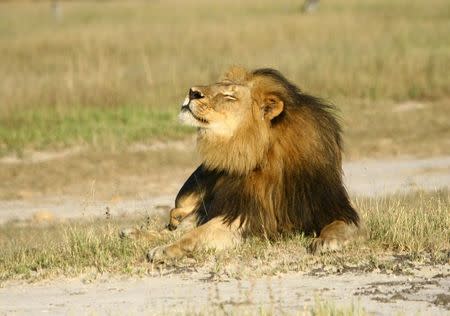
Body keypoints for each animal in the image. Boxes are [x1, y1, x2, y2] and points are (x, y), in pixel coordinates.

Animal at [146, 66, 364, 262]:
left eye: (230, 96)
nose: (192, 92)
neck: (263, 153)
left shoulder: (331, 207)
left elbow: (341, 224)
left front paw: (326, 241)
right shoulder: (244, 213)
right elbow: (197, 233)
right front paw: (165, 249)